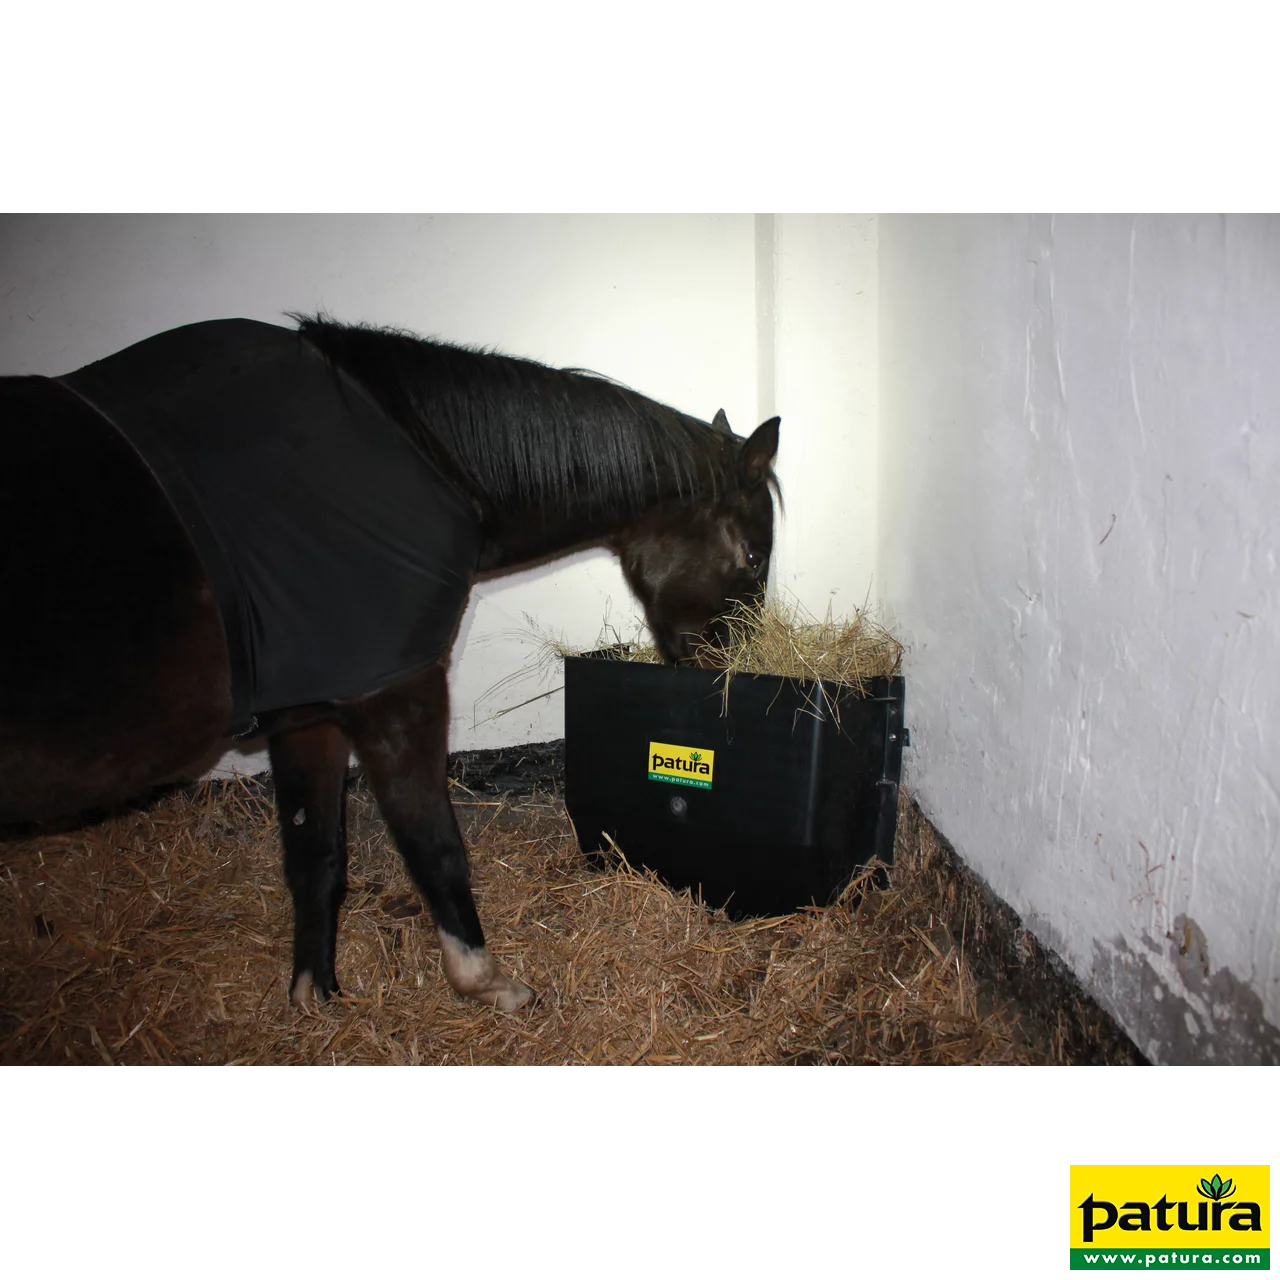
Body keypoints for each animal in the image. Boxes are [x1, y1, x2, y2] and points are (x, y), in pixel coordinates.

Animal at [0, 315, 781, 1014]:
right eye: (752, 555)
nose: (731, 668)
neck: (420, 455)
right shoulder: (394, 695)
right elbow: (432, 845)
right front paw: (485, 982)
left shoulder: (306, 716)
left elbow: (314, 854)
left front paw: (315, 993)